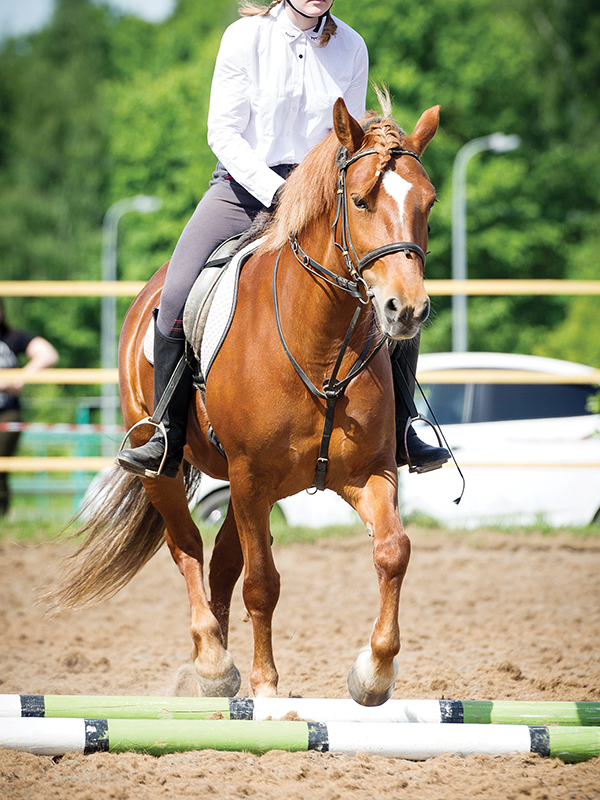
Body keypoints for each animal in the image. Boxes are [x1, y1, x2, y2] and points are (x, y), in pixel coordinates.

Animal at [50, 94, 439, 707]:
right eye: (359, 200)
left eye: (428, 202)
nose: (408, 310)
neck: (318, 344)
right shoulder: (252, 476)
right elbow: (262, 583)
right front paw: (266, 687)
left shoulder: (369, 472)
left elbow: (392, 550)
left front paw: (373, 673)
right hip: (175, 472)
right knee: (187, 546)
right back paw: (212, 663)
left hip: (245, 487)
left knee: (222, 563)